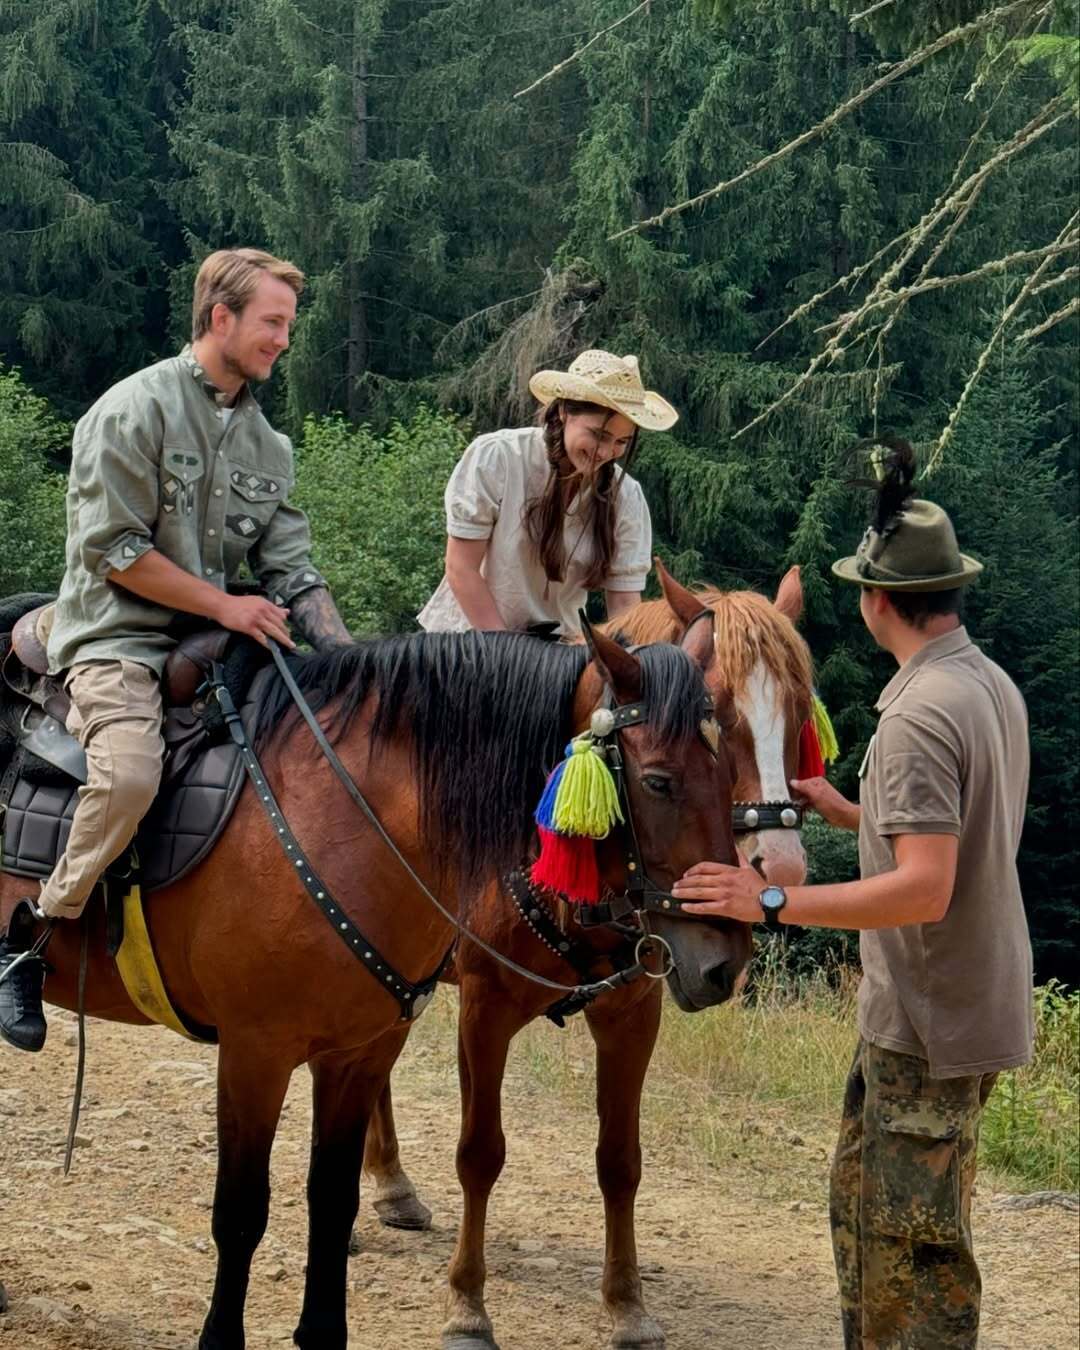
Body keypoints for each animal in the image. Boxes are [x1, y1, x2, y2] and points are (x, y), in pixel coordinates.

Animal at [0, 604, 739, 1350]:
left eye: (731, 773)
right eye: (659, 781)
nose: (724, 961)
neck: (345, 818)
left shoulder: (360, 1053)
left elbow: (333, 1198)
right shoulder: (256, 1053)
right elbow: (241, 1210)